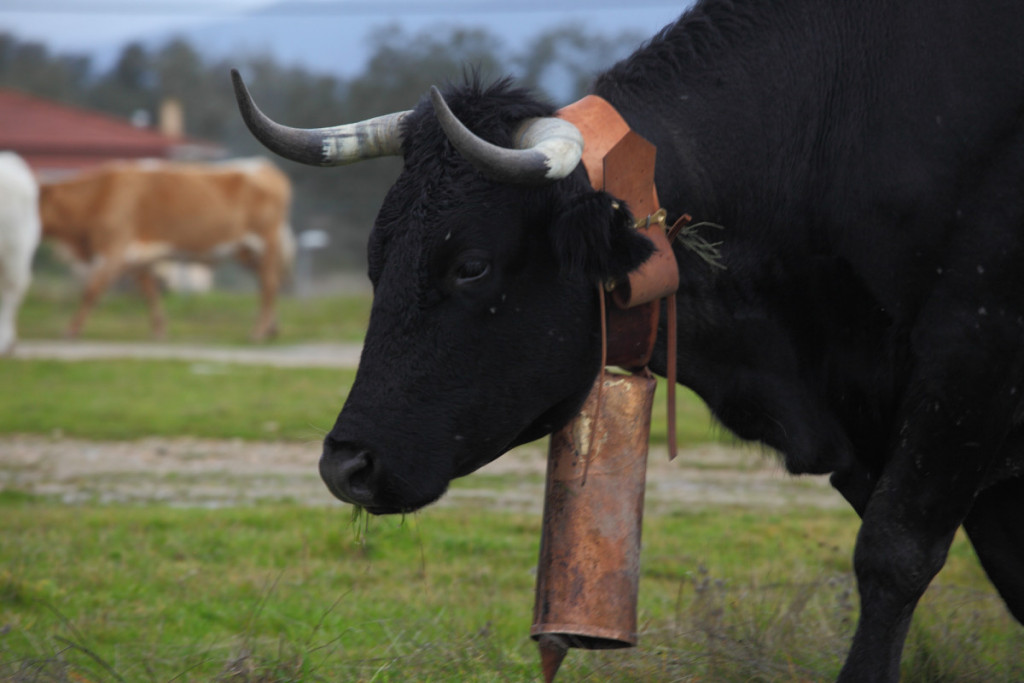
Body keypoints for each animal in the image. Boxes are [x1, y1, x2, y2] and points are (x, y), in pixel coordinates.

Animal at [39, 158, 294, 342]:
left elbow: (91, 290)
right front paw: (159, 329)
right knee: (268, 283)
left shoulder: (114, 249)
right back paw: (272, 328)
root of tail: (264, 166)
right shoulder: (137, 256)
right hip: (248, 252)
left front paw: (71, 329)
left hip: (265, 242)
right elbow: (149, 292)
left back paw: (259, 332)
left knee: (269, 285)